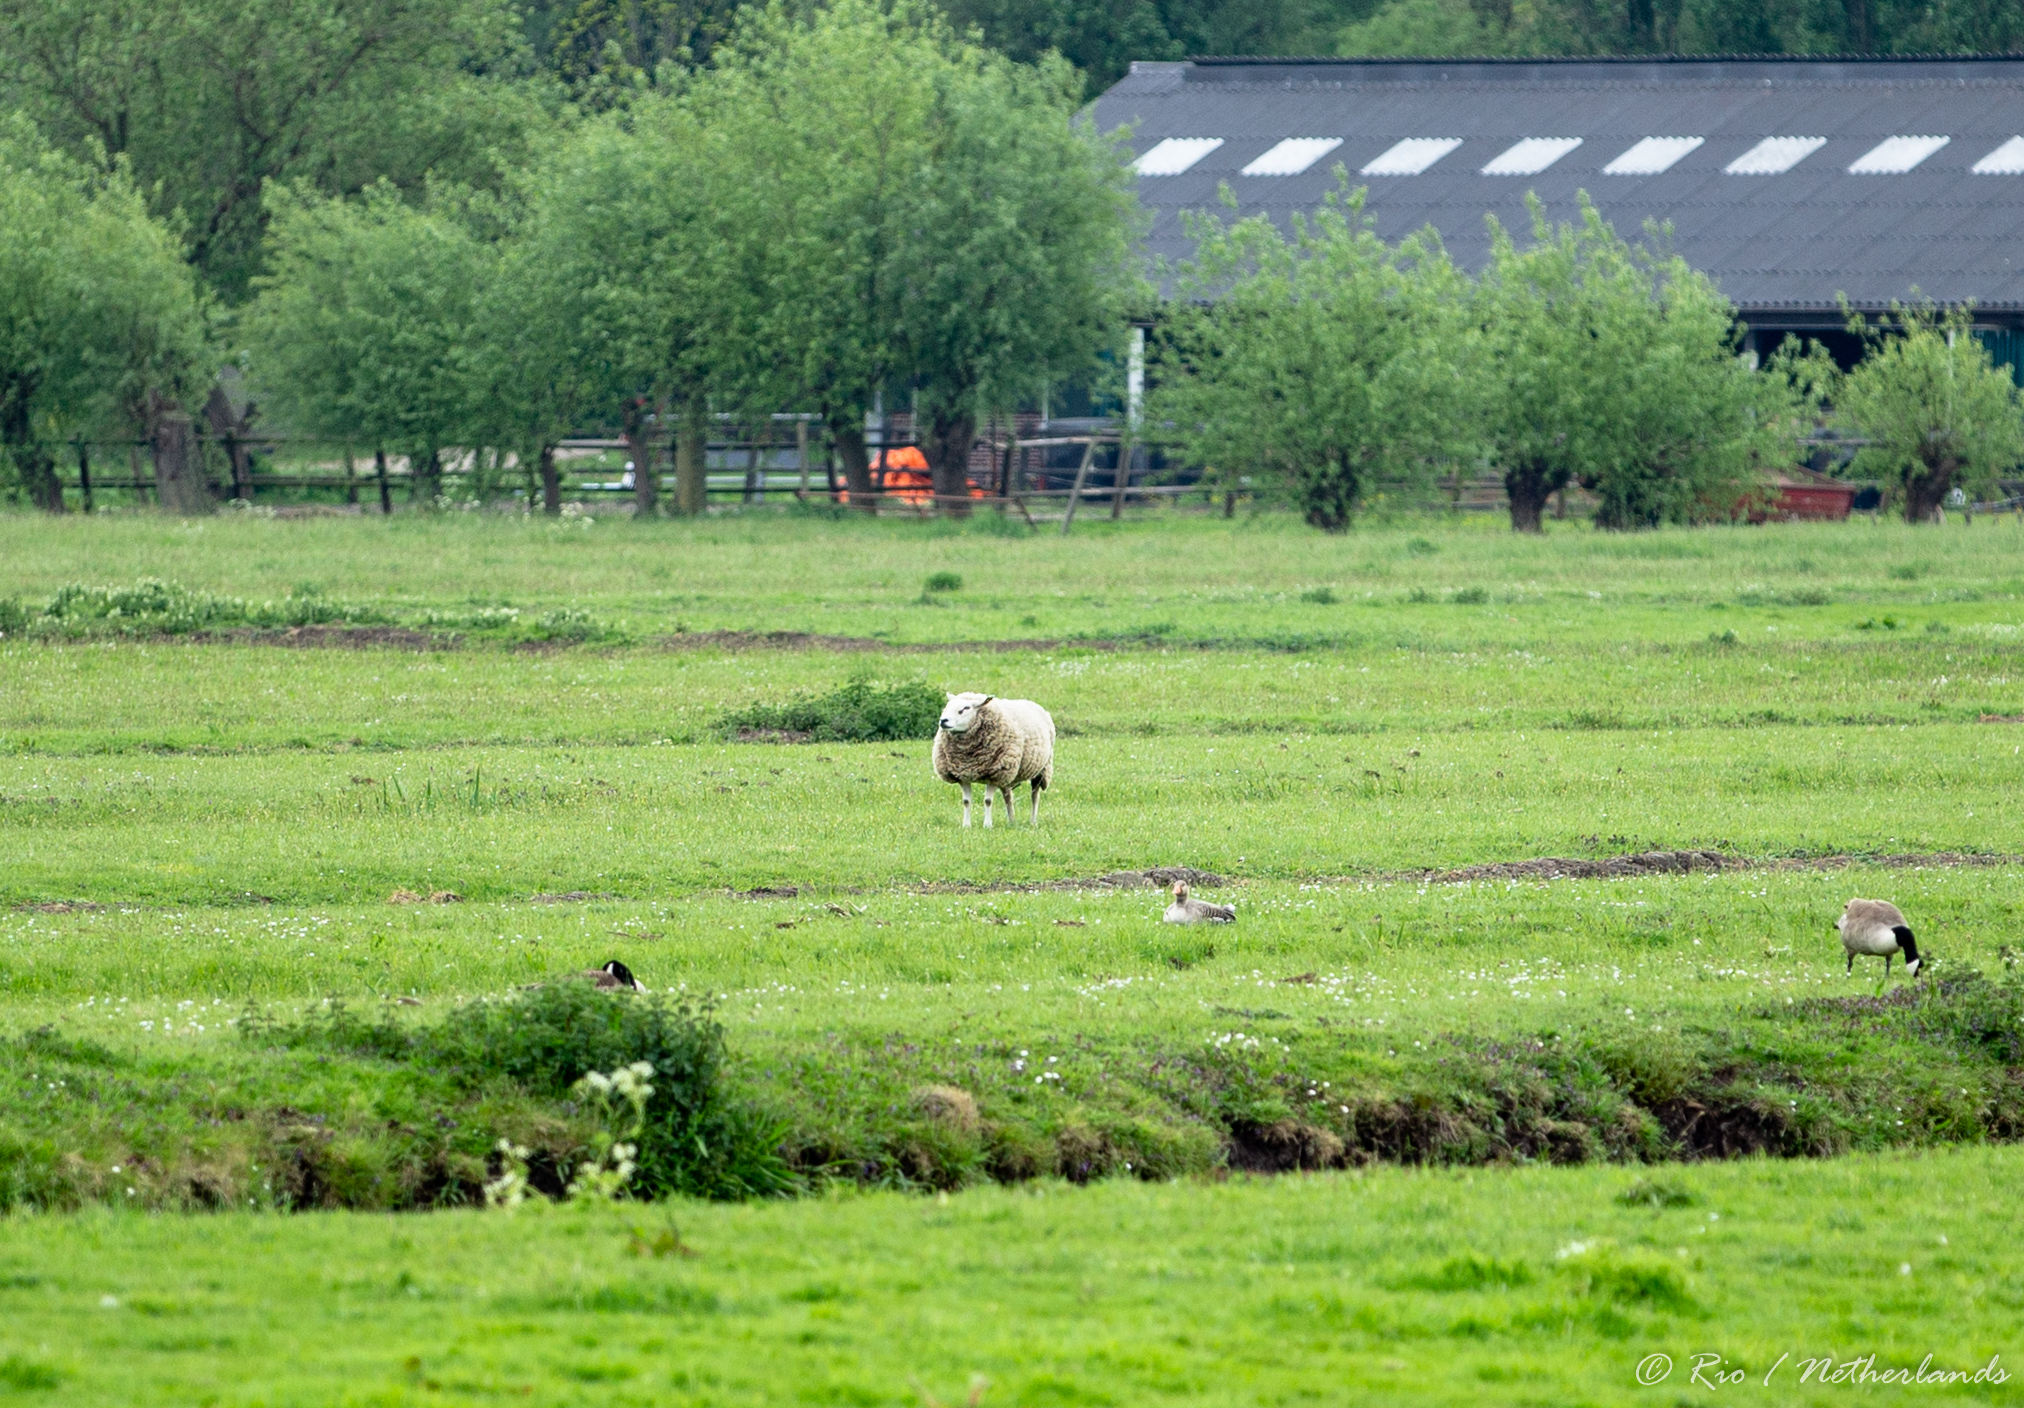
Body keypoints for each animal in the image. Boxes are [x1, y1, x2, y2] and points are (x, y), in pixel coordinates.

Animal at [935, 691, 1060, 825]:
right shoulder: (963, 775)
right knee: (1008, 797)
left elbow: (988, 801)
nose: (943, 721)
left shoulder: (995, 774)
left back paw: (1033, 821)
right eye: (947, 707)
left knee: (1035, 796)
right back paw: (1012, 821)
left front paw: (987, 825)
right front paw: (966, 825)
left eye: (966, 708)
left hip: (1041, 770)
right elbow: (966, 802)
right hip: (1007, 773)